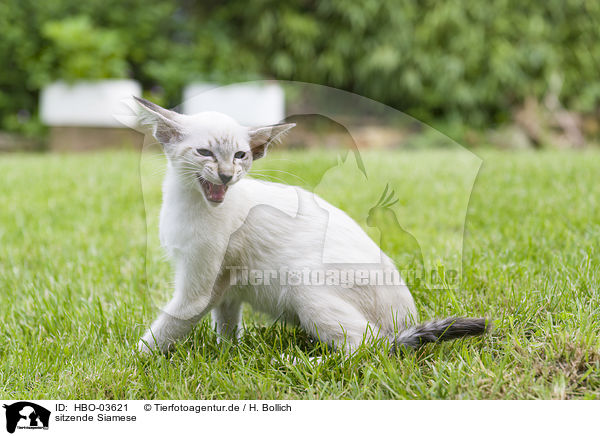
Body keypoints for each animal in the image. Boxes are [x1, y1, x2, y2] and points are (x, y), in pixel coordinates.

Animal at [132, 95, 488, 354]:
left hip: (303, 285)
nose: (226, 175)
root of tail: (404, 320)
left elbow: (166, 327)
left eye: (240, 155)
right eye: (205, 152)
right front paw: (228, 354)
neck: (190, 203)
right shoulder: (224, 287)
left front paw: (134, 360)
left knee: (367, 346)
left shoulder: (198, 289)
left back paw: (299, 361)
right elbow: (227, 326)